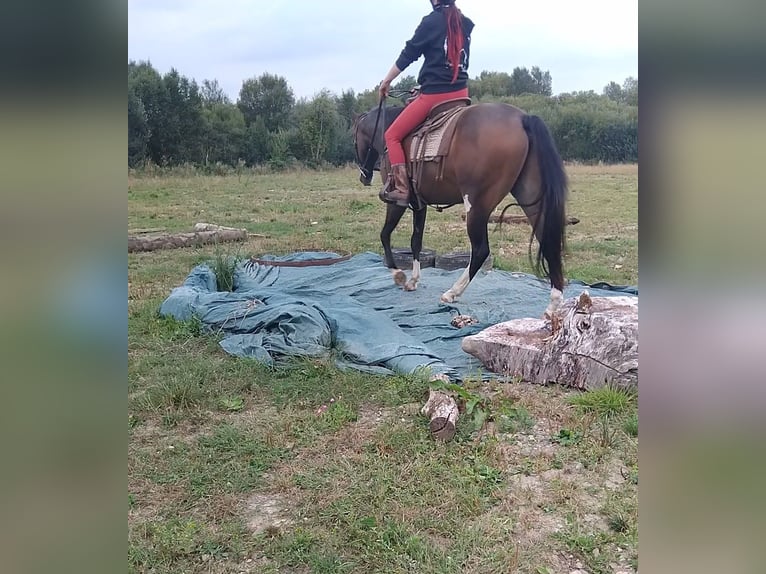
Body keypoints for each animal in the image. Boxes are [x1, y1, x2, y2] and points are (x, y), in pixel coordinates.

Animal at [352, 98, 569, 318]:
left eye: (354, 139)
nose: (364, 176)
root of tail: (523, 118)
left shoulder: (396, 202)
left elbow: (385, 234)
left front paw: (398, 274)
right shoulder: (420, 205)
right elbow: (416, 241)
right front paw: (413, 280)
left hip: (476, 205)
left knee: (480, 250)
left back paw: (452, 292)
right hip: (530, 197)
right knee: (547, 239)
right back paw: (553, 305)